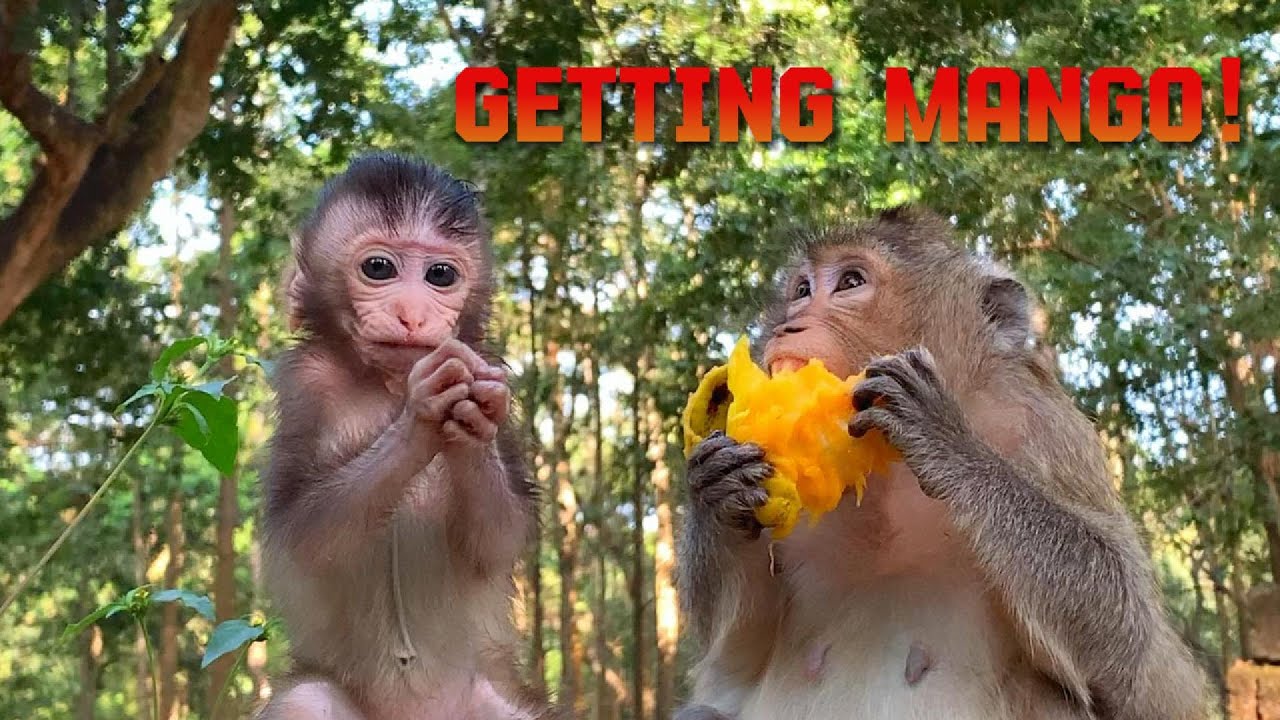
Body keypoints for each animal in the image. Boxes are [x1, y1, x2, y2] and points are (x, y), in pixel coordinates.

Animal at [257, 153, 555, 720]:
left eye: (441, 275)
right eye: (379, 268)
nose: (413, 314)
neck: (388, 381)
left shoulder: (495, 364)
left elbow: (498, 538)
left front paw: (471, 420)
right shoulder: (305, 382)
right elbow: (302, 535)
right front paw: (420, 415)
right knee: (305, 700)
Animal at [675, 208, 1206, 720]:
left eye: (850, 281)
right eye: (801, 290)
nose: (789, 326)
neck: (884, 466)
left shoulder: (1046, 427)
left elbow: (1130, 646)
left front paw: (944, 439)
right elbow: (733, 650)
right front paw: (718, 487)